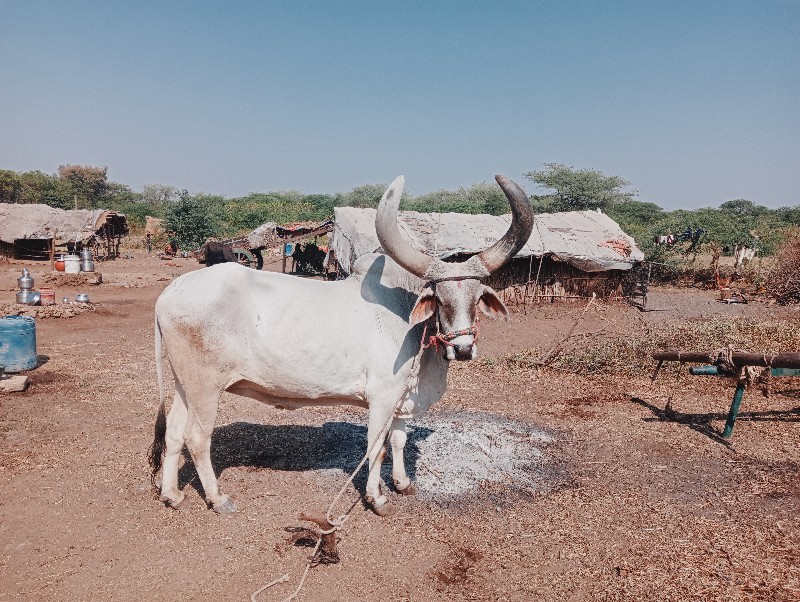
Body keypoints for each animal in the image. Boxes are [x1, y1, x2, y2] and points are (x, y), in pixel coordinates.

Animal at [150, 173, 536, 516]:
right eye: (439, 299)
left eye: (477, 297)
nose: (464, 349)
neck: (407, 320)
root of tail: (170, 292)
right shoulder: (382, 398)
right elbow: (376, 448)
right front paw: (376, 498)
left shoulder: (401, 398)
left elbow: (398, 440)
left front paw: (402, 483)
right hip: (205, 386)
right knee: (197, 438)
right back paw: (218, 499)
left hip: (185, 384)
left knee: (174, 433)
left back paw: (172, 495)